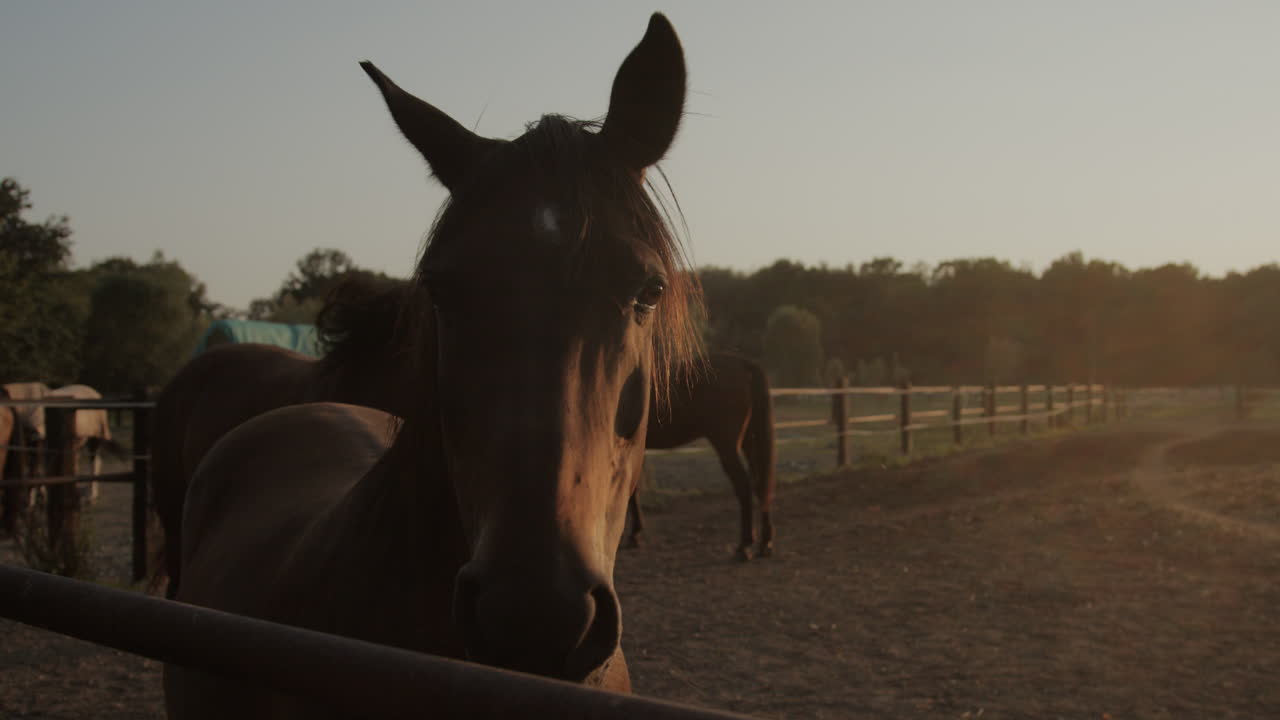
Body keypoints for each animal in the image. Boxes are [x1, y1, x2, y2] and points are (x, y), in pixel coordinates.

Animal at [627, 352, 776, 559]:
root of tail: (743, 364)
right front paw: (635, 534)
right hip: (750, 441)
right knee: (760, 483)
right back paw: (765, 544)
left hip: (726, 445)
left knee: (744, 485)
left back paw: (744, 546)